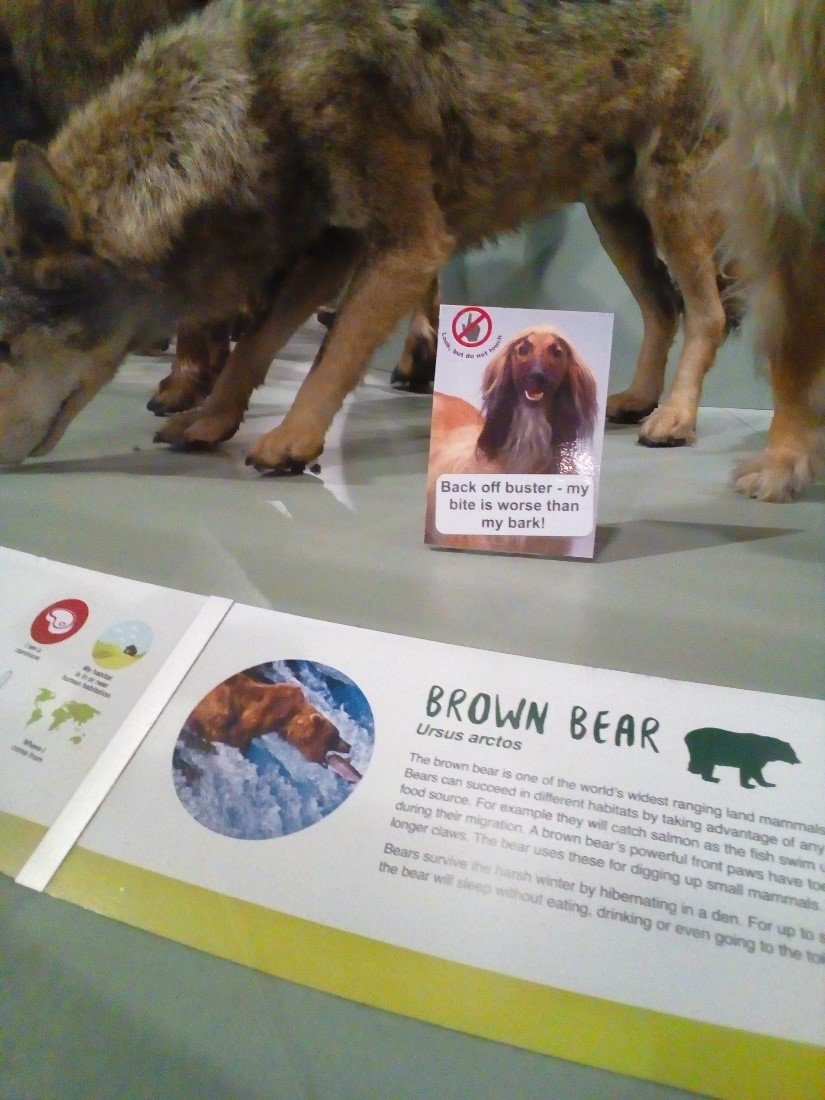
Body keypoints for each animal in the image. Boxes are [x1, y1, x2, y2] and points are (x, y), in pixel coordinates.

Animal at [3, 0, 734, 468]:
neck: (255, 85)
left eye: (6, 346)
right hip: (615, 217)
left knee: (709, 315)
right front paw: (211, 419)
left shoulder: (408, 245)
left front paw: (291, 441)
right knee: (663, 308)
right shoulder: (335, 244)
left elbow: (332, 355)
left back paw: (675, 417)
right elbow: (256, 343)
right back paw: (637, 400)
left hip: (668, 206)